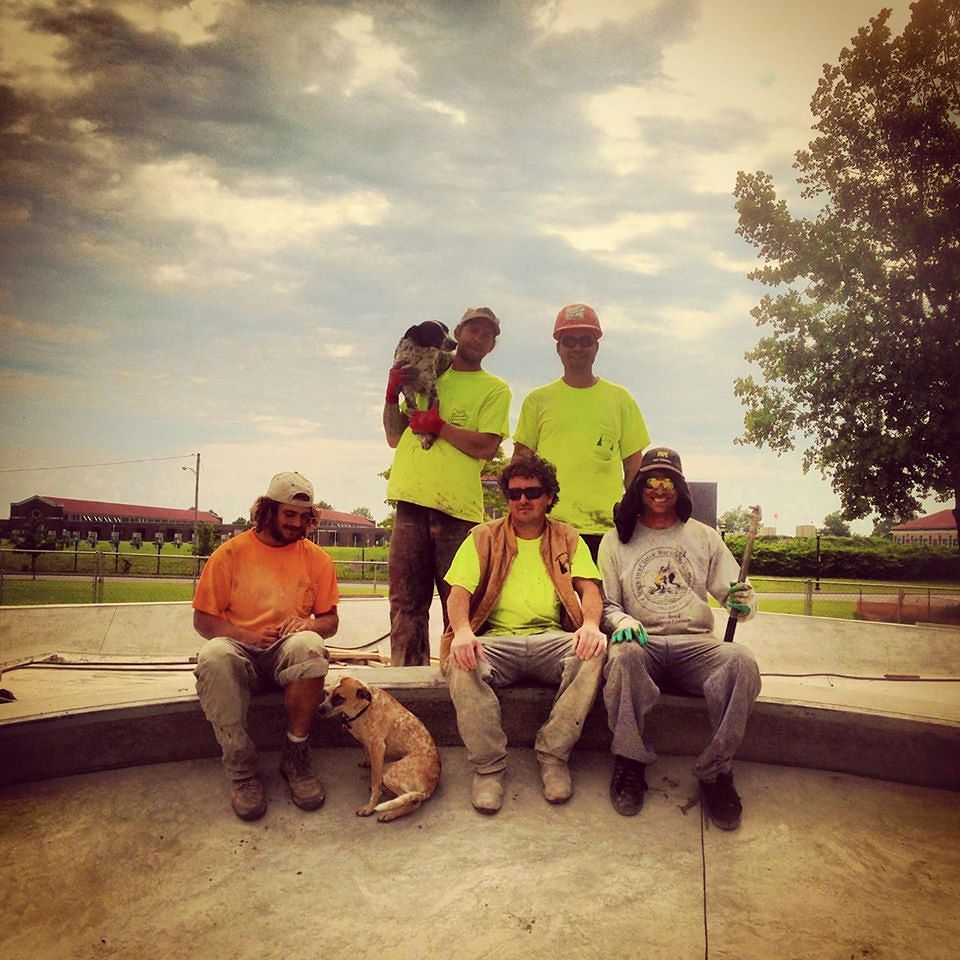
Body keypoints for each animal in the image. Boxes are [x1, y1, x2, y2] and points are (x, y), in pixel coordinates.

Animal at [320, 676, 444, 824]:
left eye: (339, 698)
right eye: (326, 693)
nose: (319, 709)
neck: (364, 709)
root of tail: (431, 786)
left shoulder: (378, 748)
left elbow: (375, 782)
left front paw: (370, 807)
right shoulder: (368, 743)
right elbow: (366, 752)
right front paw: (366, 761)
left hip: (388, 772)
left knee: (413, 801)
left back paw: (389, 814)